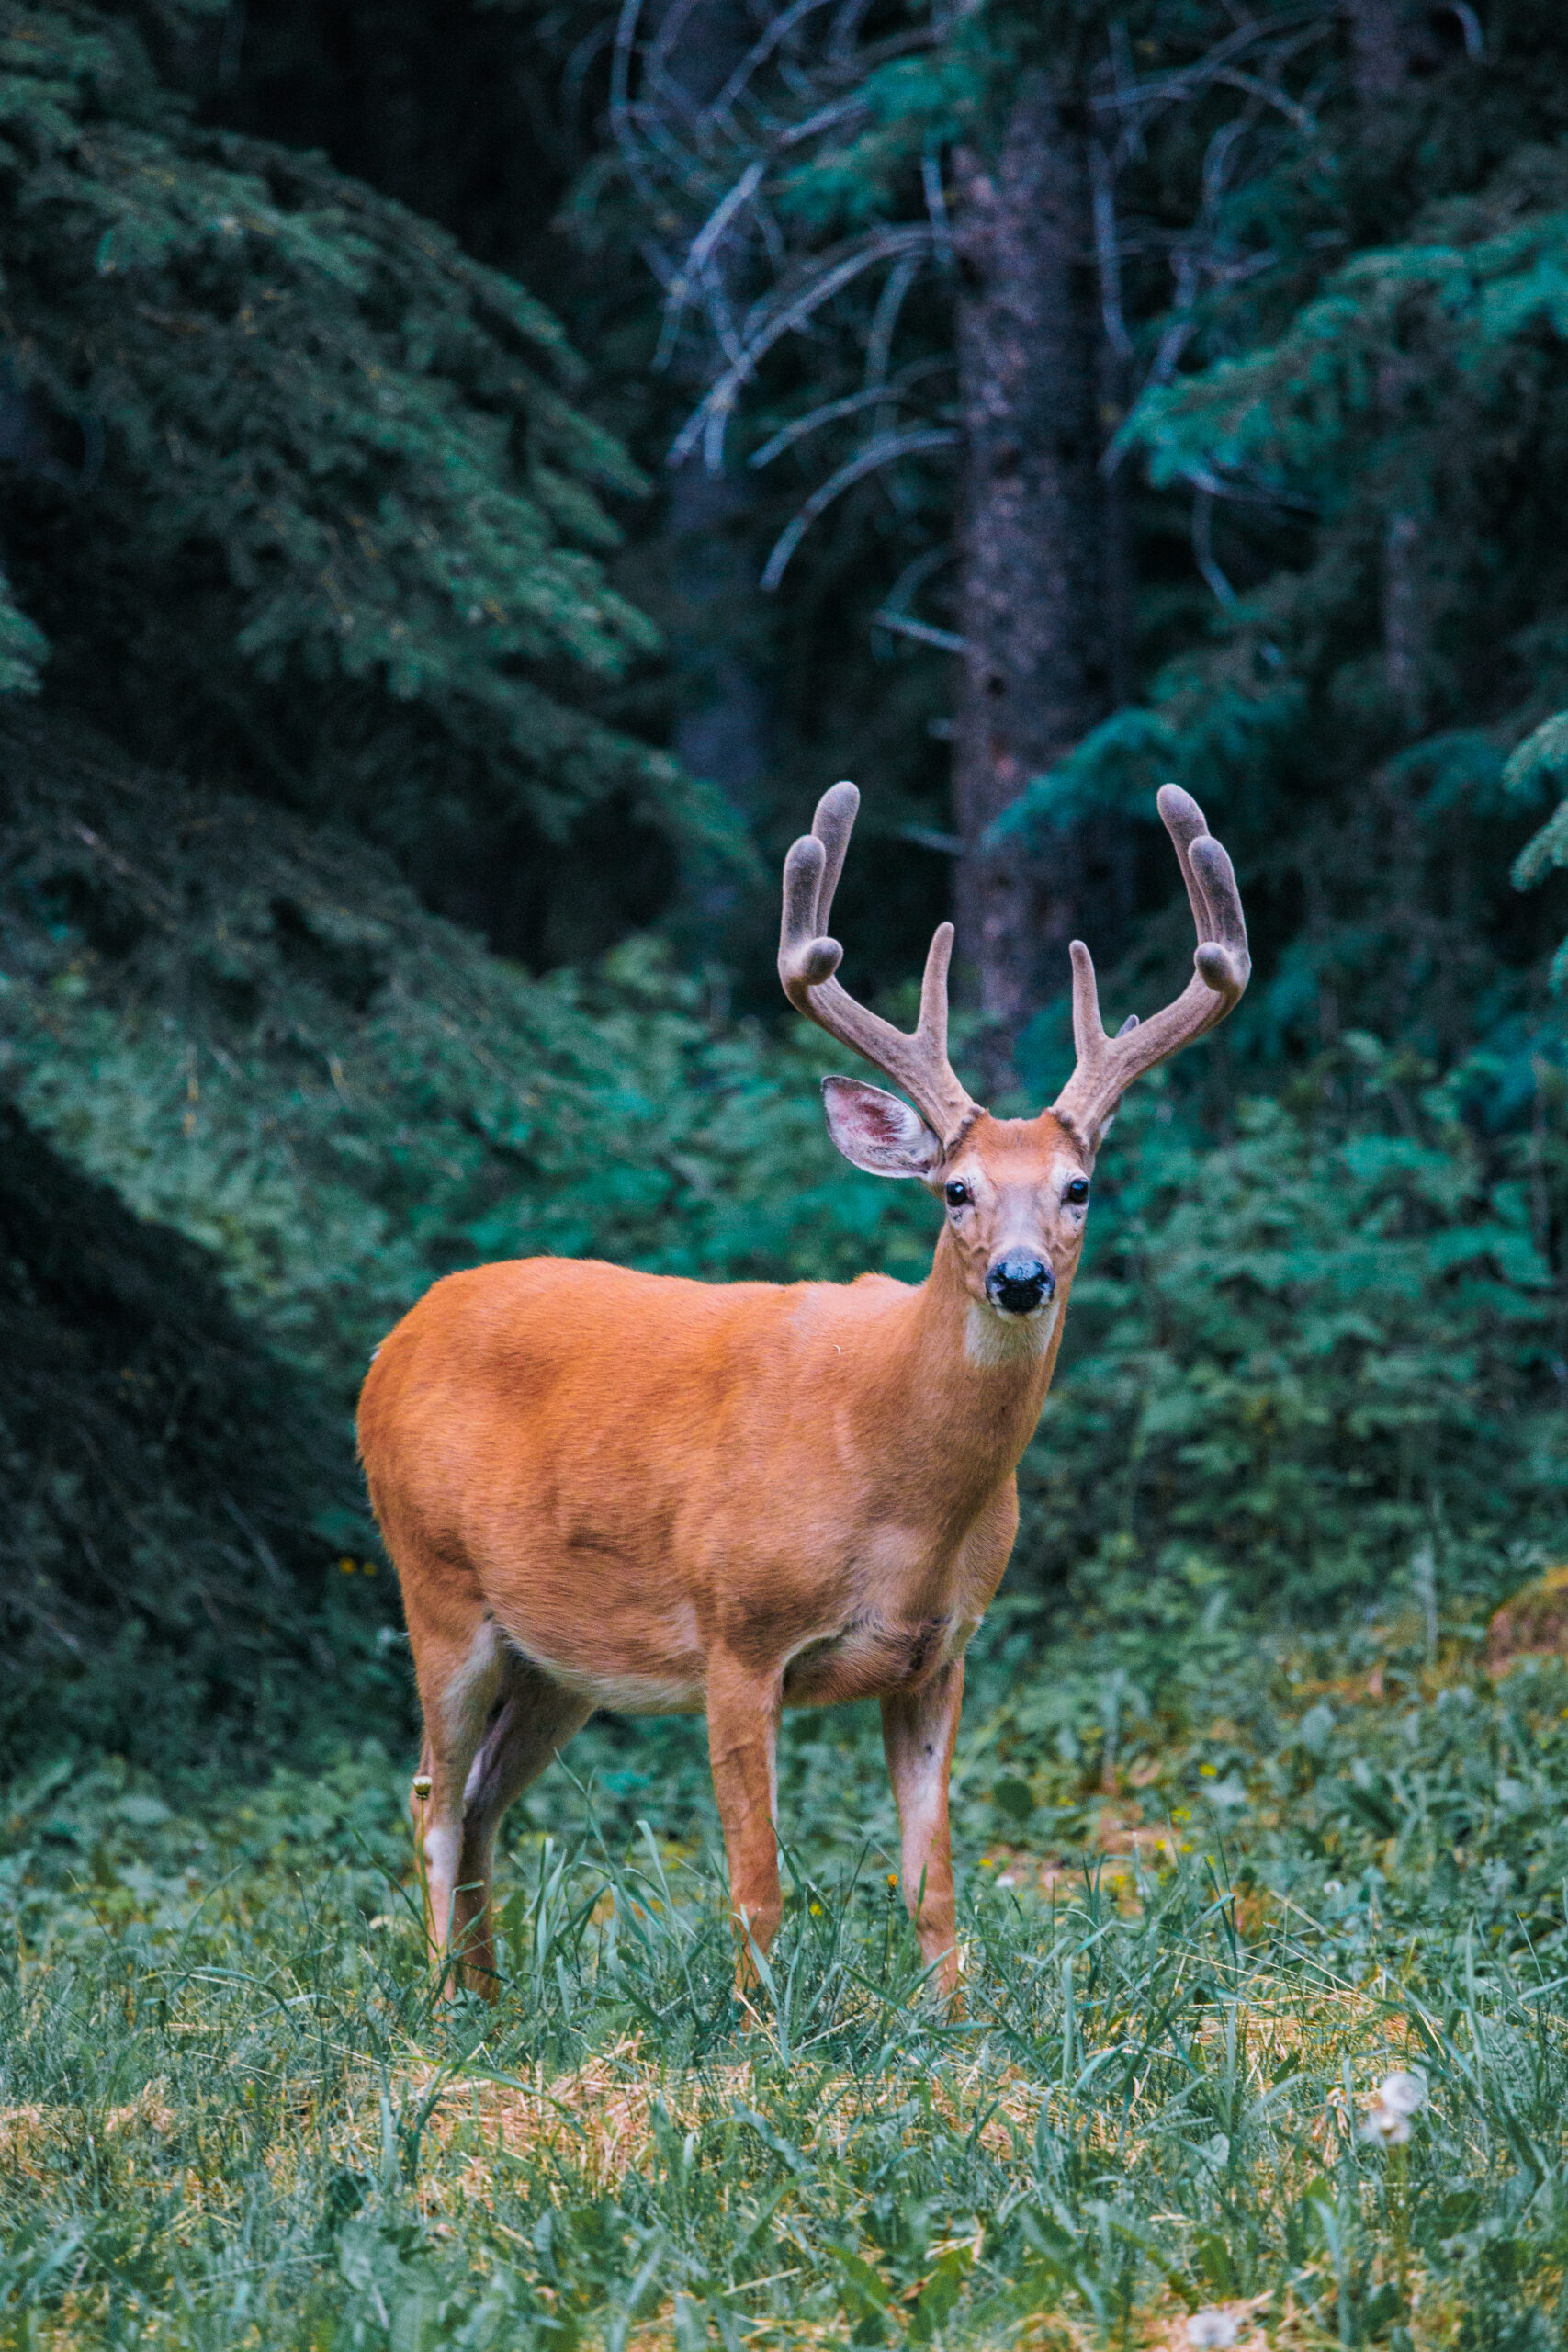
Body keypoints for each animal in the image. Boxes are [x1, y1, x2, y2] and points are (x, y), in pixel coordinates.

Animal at [355, 780, 1250, 1994]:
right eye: (955, 1189)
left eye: (1080, 1187)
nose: (1022, 1278)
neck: (899, 1486)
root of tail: (395, 1340)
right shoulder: (738, 1632)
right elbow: (756, 1887)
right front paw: (759, 2023)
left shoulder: (941, 1654)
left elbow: (934, 1886)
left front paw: (957, 2020)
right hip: (437, 1586)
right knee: (434, 1801)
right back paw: (448, 2003)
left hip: (561, 1656)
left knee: (484, 1799)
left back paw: (498, 1999)